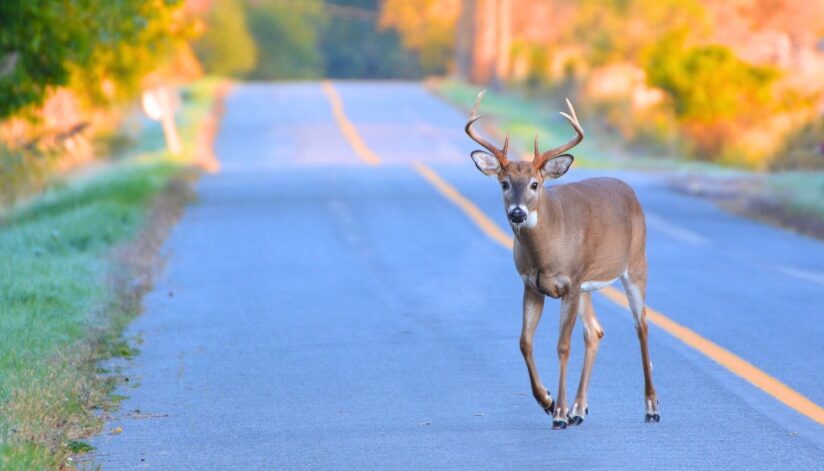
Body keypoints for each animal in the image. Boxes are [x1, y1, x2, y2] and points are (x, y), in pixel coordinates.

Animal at [465, 91, 660, 429]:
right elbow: (524, 342)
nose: (517, 213)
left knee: (642, 326)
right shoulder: (533, 285)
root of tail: (629, 190)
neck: (545, 251)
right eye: (504, 183)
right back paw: (580, 409)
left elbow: (562, 346)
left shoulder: (570, 281)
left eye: (535, 184)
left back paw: (651, 407)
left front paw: (558, 413)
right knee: (595, 332)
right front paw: (547, 401)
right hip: (587, 287)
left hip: (635, 265)